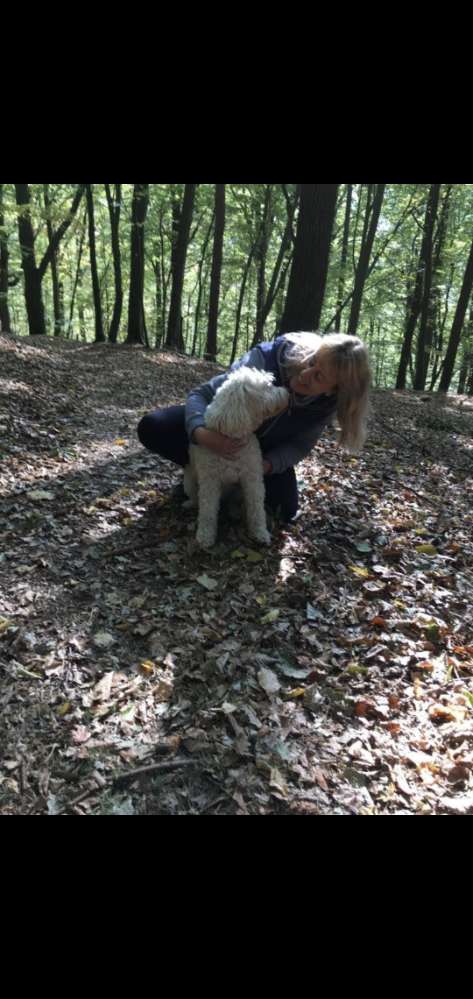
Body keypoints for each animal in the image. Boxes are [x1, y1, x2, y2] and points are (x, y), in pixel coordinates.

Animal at [183, 368, 288, 552]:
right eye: (268, 386)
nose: (286, 392)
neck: (232, 435)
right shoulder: (210, 482)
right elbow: (208, 510)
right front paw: (205, 536)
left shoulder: (252, 479)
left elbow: (256, 508)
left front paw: (260, 533)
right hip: (189, 482)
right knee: (197, 499)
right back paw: (191, 504)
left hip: (238, 490)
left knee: (234, 502)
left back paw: (234, 512)